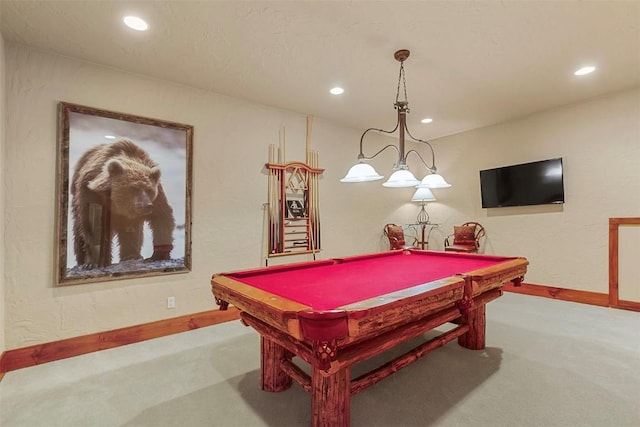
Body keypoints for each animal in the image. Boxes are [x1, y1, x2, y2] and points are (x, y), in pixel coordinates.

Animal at [71, 140, 175, 268]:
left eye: (149, 190)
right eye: (134, 188)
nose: (147, 205)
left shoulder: (157, 196)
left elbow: (162, 217)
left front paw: (157, 255)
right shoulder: (92, 195)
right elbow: (92, 226)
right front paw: (93, 262)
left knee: (132, 232)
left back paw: (131, 255)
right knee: (79, 232)